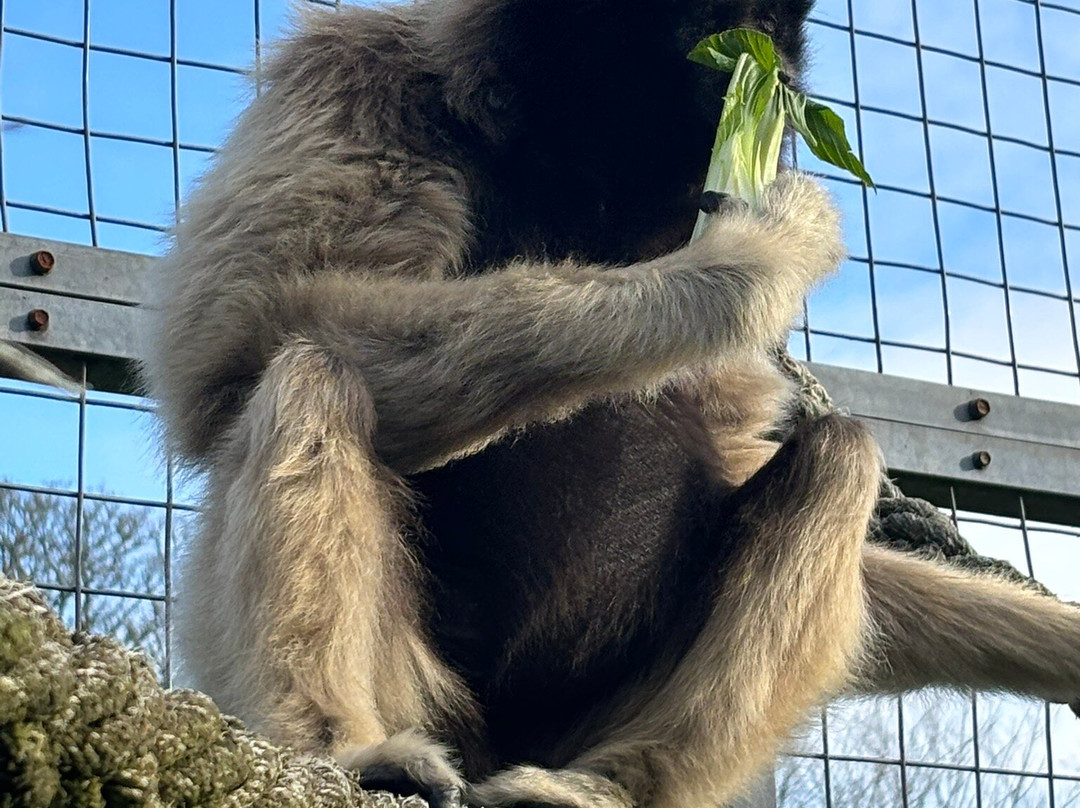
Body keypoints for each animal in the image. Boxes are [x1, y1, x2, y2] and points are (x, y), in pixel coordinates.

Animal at [139, 1, 1080, 807]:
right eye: (718, 15)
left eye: (777, 24)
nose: (776, 71)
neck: (584, 162)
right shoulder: (354, 67)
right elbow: (231, 351)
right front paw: (746, 263)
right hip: (424, 694)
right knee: (311, 369)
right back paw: (345, 746)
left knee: (838, 455)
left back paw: (611, 784)